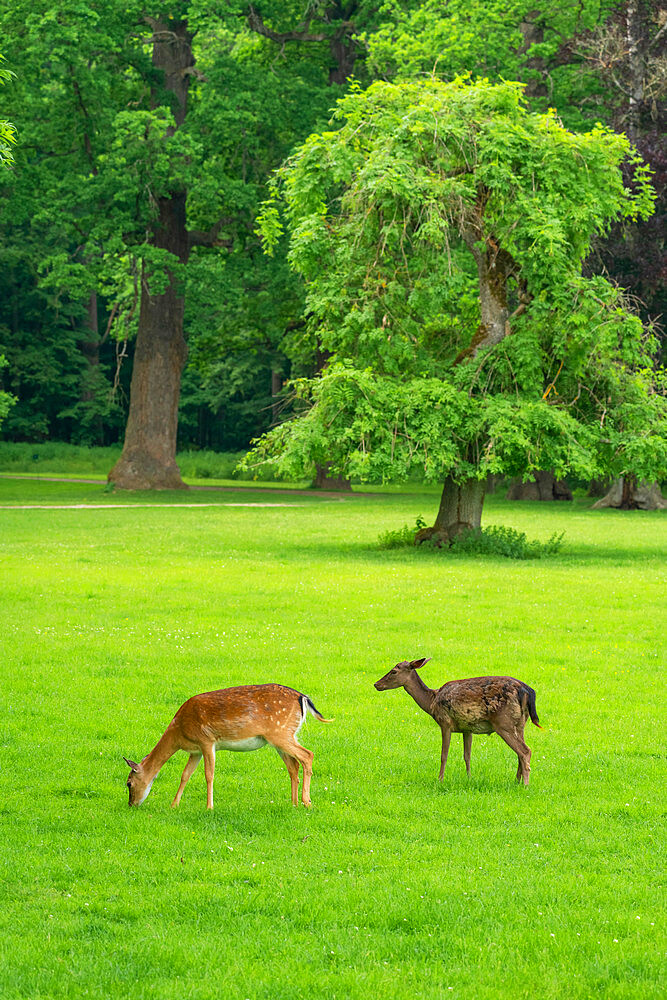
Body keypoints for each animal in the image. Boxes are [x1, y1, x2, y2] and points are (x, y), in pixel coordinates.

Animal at [122, 684, 332, 808]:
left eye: (129, 783)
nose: (132, 804)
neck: (179, 732)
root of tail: (303, 697)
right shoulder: (195, 750)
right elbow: (185, 775)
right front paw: (174, 804)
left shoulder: (207, 740)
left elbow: (209, 775)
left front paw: (209, 807)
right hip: (281, 737)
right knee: (293, 765)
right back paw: (293, 803)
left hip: (280, 733)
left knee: (307, 755)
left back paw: (306, 802)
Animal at [376, 660, 544, 784]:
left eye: (394, 671)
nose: (376, 684)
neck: (431, 702)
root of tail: (527, 691)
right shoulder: (467, 728)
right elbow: (467, 755)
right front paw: (469, 778)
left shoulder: (445, 722)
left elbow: (443, 754)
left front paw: (440, 779)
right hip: (520, 723)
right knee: (520, 751)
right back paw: (516, 781)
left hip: (504, 723)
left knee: (525, 751)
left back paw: (525, 784)